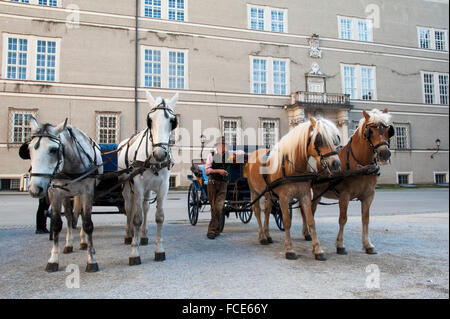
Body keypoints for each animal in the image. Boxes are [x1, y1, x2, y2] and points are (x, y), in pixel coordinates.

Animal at [23, 117, 103, 272]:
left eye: (53, 150)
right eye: (29, 149)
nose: (35, 188)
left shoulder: (87, 192)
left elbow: (87, 223)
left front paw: (91, 260)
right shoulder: (55, 193)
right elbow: (56, 224)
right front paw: (53, 259)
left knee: (80, 215)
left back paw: (84, 242)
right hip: (67, 195)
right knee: (69, 216)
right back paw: (70, 244)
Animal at [117, 90, 178, 268]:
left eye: (172, 122)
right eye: (149, 120)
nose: (160, 154)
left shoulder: (163, 188)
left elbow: (159, 217)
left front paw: (159, 250)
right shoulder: (137, 186)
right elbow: (136, 218)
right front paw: (134, 252)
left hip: (148, 190)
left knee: (144, 207)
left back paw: (142, 236)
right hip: (127, 185)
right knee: (129, 207)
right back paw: (129, 235)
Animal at [246, 119, 342, 262]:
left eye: (334, 139)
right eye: (318, 140)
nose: (336, 163)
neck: (293, 168)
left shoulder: (305, 196)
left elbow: (311, 221)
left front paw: (318, 250)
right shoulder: (284, 198)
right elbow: (287, 222)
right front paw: (290, 250)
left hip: (269, 194)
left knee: (267, 211)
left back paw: (267, 235)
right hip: (255, 192)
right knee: (257, 212)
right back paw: (262, 236)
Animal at [302, 109, 394, 256]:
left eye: (388, 130)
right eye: (370, 131)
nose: (384, 153)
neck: (361, 165)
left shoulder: (369, 196)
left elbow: (366, 219)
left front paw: (367, 244)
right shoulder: (344, 195)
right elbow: (343, 219)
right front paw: (340, 245)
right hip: (315, 192)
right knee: (310, 210)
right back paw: (307, 233)